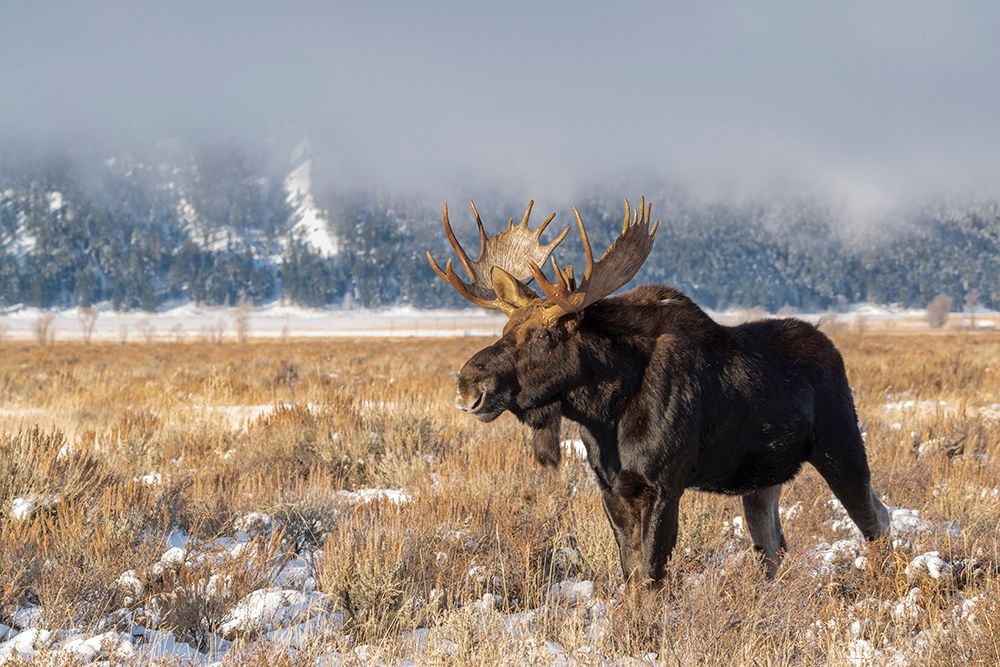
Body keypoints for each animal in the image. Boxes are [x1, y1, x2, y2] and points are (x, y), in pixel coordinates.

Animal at [427, 197, 890, 585]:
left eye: (544, 335)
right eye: (505, 328)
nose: (469, 384)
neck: (606, 412)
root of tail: (832, 347)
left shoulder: (665, 483)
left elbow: (651, 575)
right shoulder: (612, 486)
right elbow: (631, 572)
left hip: (841, 446)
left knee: (876, 519)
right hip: (761, 479)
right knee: (773, 544)